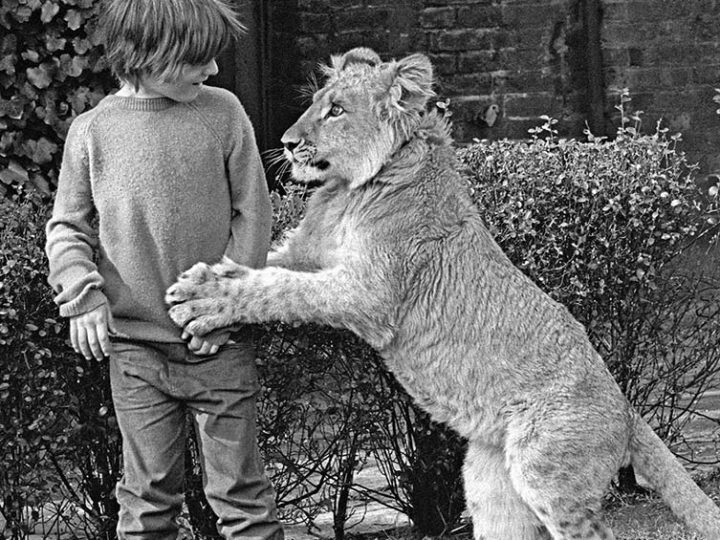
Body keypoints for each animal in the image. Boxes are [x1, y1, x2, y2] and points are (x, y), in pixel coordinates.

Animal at [166, 48, 720, 536]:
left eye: (337, 110)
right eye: (317, 102)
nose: (284, 141)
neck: (351, 190)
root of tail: (625, 407)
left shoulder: (368, 294)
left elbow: (278, 289)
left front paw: (200, 299)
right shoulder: (307, 255)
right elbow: (261, 270)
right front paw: (203, 285)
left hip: (547, 474)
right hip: (490, 485)